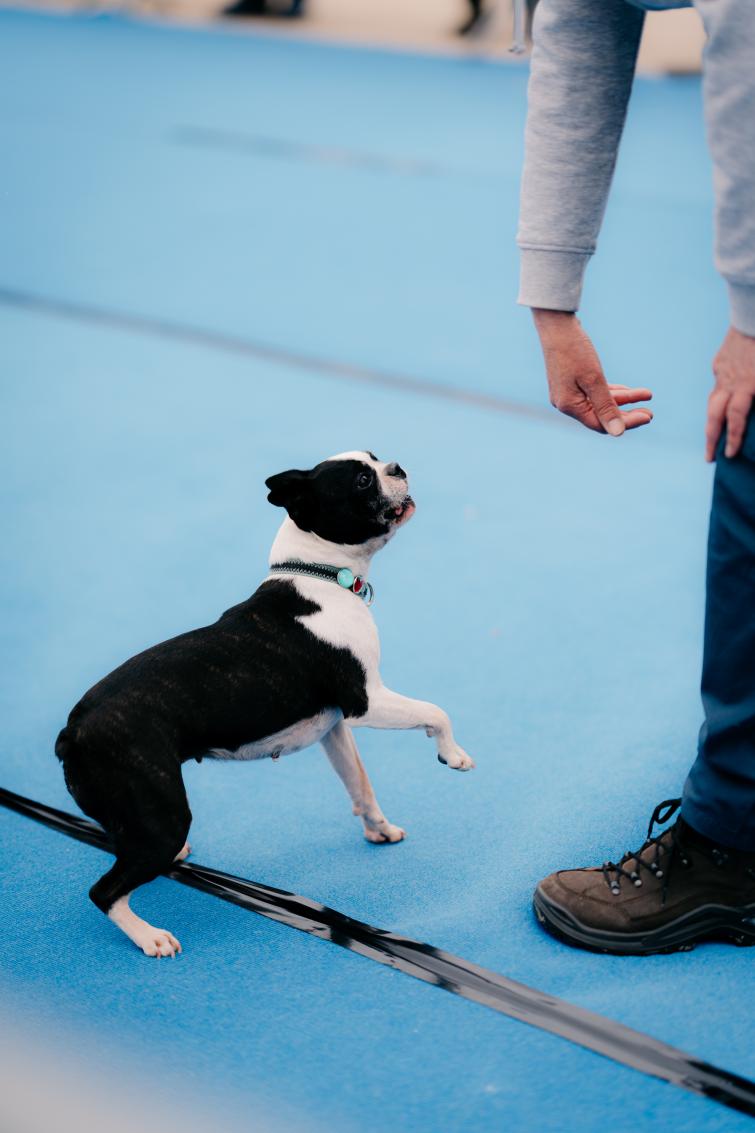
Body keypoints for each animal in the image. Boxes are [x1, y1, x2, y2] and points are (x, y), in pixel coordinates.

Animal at [55, 451, 474, 957]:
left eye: (375, 458)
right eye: (361, 480)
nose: (397, 466)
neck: (323, 576)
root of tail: (72, 731)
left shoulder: (335, 727)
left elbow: (359, 782)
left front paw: (379, 828)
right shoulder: (365, 702)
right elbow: (435, 711)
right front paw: (454, 755)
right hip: (164, 814)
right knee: (106, 889)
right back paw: (150, 936)